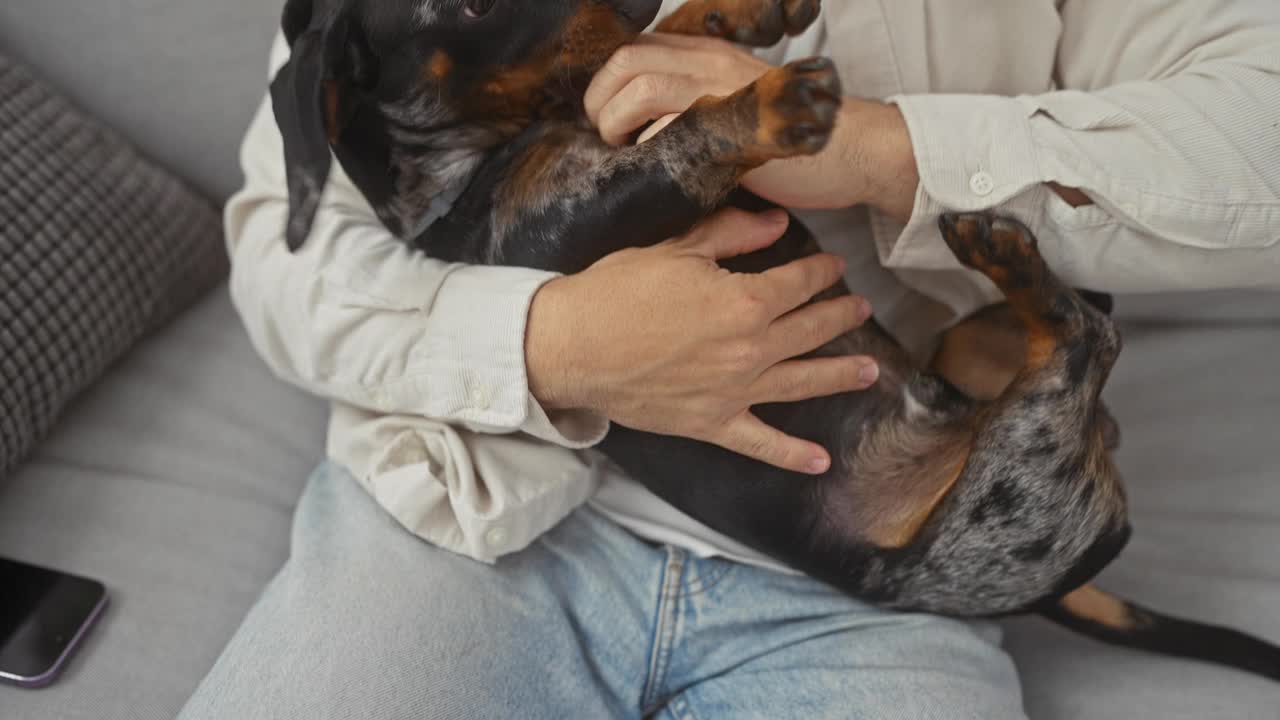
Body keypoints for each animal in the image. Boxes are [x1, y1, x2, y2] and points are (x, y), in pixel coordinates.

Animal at [272, 0, 1280, 676]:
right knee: (1086, 338)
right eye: (472, 5)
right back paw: (1005, 249)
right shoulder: (584, 216)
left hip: (963, 362)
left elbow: (639, 62)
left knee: (1082, 321)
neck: (482, 156)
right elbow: (682, 139)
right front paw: (760, 98)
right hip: (1017, 467)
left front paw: (731, 18)